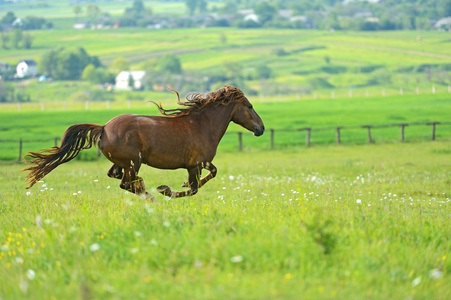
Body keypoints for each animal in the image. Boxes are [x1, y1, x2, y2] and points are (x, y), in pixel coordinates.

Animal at [23, 85, 264, 200]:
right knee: (126, 183)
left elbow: (206, 178)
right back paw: (151, 195)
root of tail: (103, 128)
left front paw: (178, 185)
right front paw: (166, 190)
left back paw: (144, 188)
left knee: (117, 176)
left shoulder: (195, 165)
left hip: (123, 162)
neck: (202, 124)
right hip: (133, 162)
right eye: (250, 106)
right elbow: (199, 185)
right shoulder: (197, 163)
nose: (260, 129)